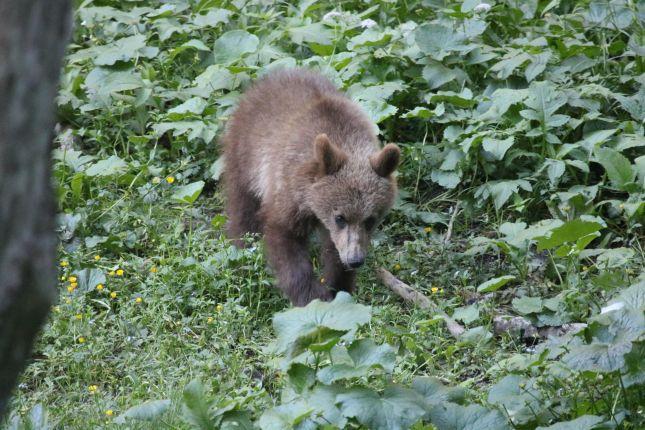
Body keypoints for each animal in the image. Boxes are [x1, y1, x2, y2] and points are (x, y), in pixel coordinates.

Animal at [224, 69, 400, 306]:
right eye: (340, 217)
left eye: (370, 219)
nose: (355, 259)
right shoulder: (289, 187)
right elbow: (284, 238)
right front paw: (311, 296)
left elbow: (334, 251)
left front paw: (338, 288)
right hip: (246, 152)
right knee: (243, 205)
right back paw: (242, 248)